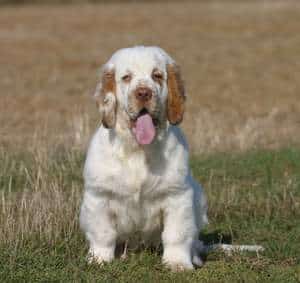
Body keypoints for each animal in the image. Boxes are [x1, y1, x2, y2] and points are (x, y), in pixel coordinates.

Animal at [79, 46, 209, 272]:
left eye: (157, 75)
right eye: (126, 77)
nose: (143, 93)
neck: (138, 149)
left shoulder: (178, 195)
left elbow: (177, 234)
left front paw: (177, 263)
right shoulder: (98, 196)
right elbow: (103, 233)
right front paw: (99, 259)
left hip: (199, 198)